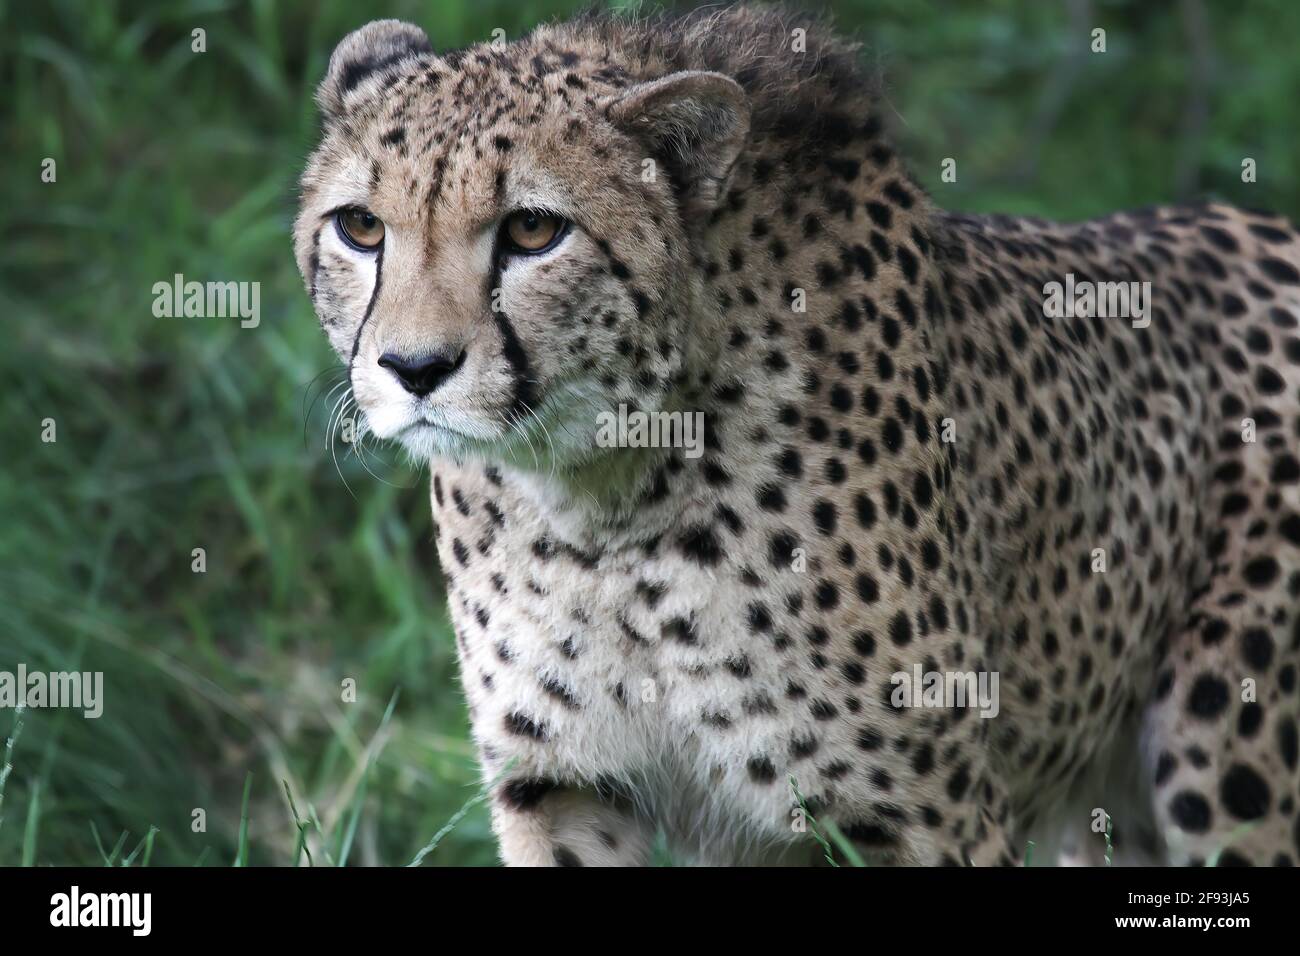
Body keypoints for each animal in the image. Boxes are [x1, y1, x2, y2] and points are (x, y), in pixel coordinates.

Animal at [293, 5, 1300, 866]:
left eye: (534, 230)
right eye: (361, 227)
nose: (413, 369)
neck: (606, 499)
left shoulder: (922, 816)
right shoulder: (567, 787)